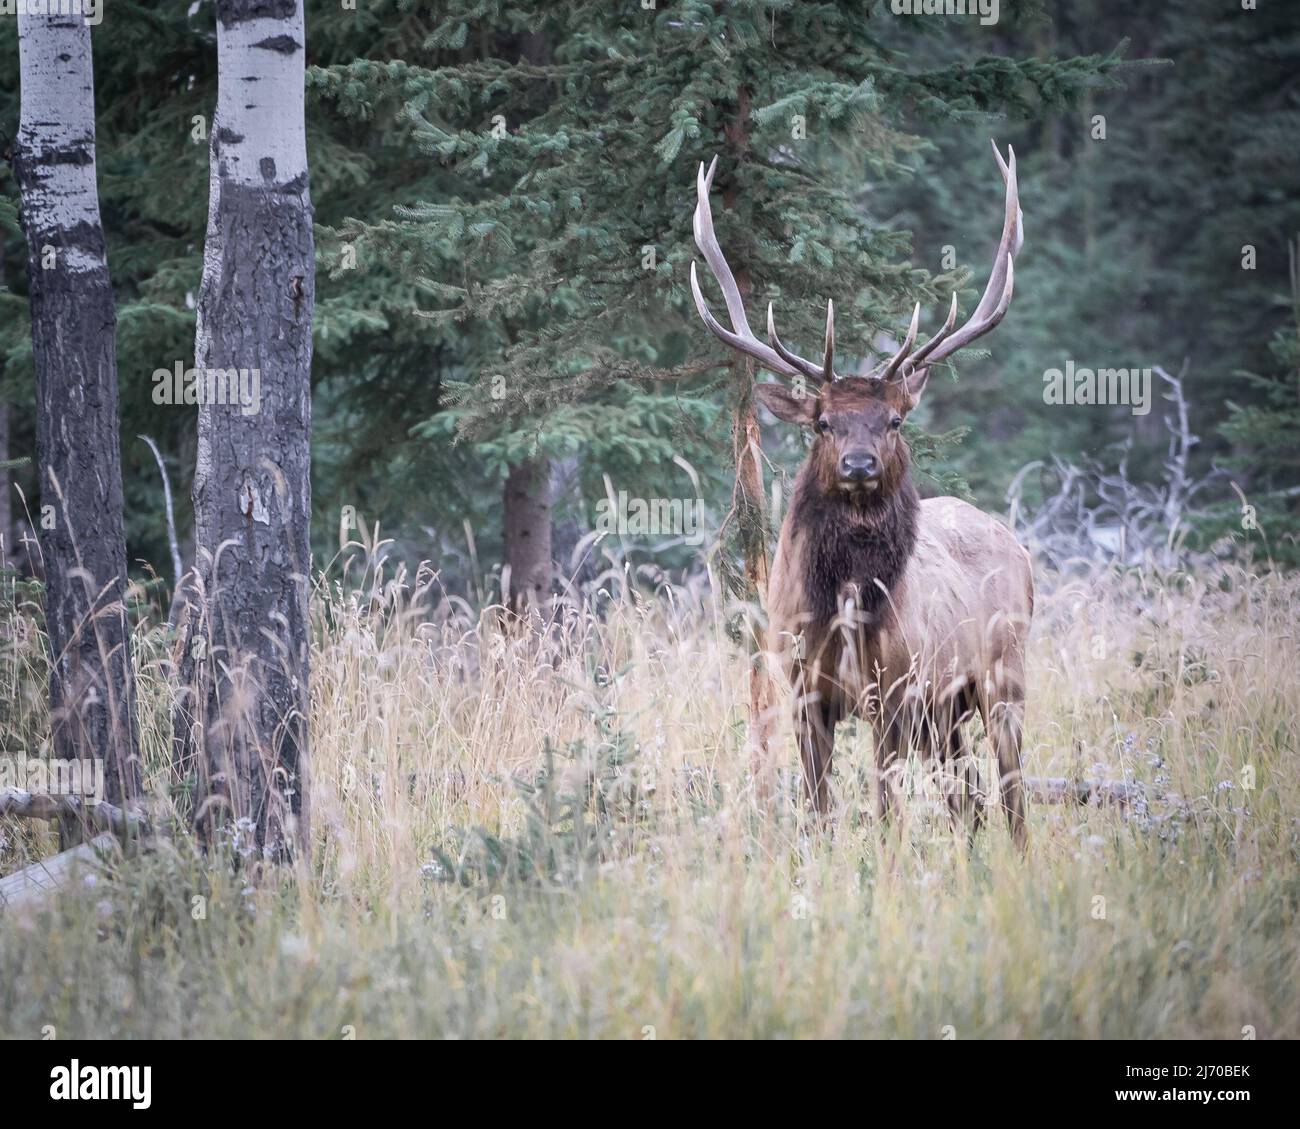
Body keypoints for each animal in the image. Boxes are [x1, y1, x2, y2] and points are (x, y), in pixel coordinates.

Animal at [691, 141, 1034, 848]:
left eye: (894, 420)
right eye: (823, 422)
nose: (857, 463)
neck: (844, 603)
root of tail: (1019, 548)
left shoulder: (896, 690)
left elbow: (885, 810)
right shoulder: (803, 691)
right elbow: (820, 810)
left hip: (1003, 676)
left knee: (1013, 795)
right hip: (947, 713)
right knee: (968, 799)